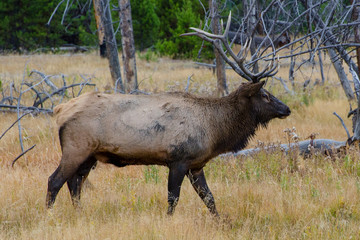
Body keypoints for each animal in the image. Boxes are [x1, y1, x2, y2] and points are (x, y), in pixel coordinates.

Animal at [46, 12, 292, 216]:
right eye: (265, 95)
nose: (287, 109)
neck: (215, 131)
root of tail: (59, 110)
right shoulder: (178, 159)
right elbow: (173, 198)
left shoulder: (196, 164)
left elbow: (209, 198)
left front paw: (222, 222)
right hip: (76, 148)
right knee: (55, 180)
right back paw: (48, 215)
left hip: (90, 155)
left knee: (74, 183)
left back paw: (79, 213)